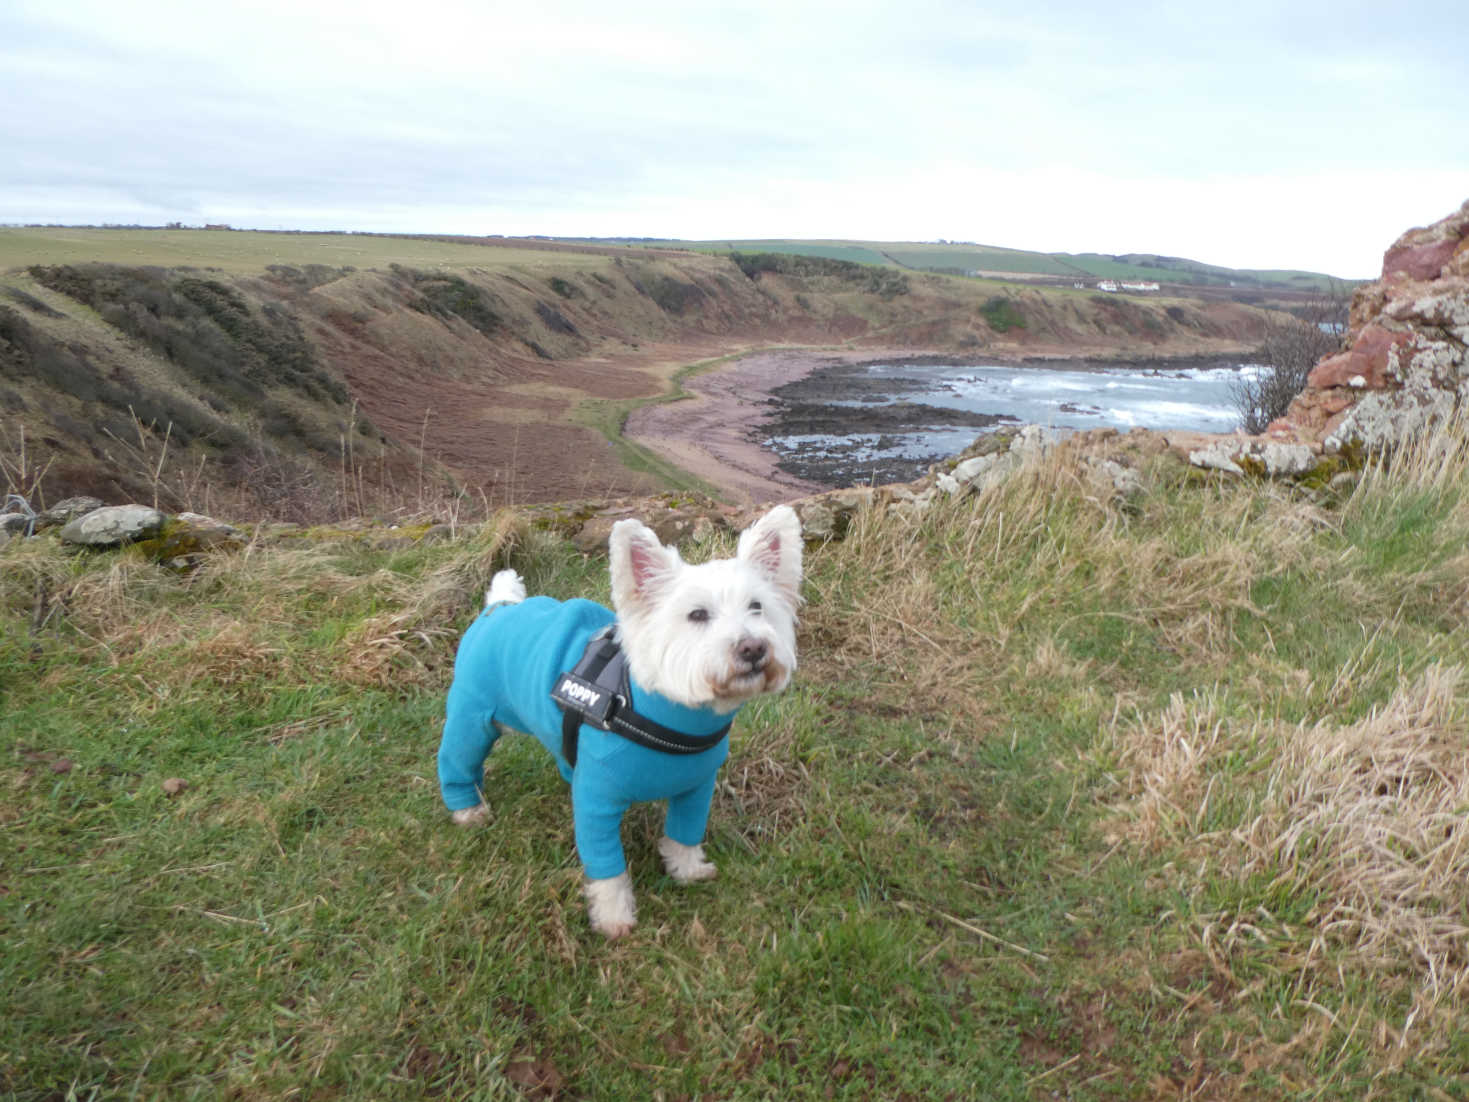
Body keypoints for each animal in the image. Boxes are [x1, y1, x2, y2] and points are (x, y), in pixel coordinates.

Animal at [434, 508, 805, 940]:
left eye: (757, 607)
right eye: (697, 614)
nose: (754, 648)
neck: (673, 715)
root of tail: (501, 605)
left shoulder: (697, 787)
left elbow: (685, 832)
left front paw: (687, 870)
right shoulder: (596, 801)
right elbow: (607, 867)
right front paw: (613, 917)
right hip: (472, 716)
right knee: (456, 759)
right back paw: (468, 809)